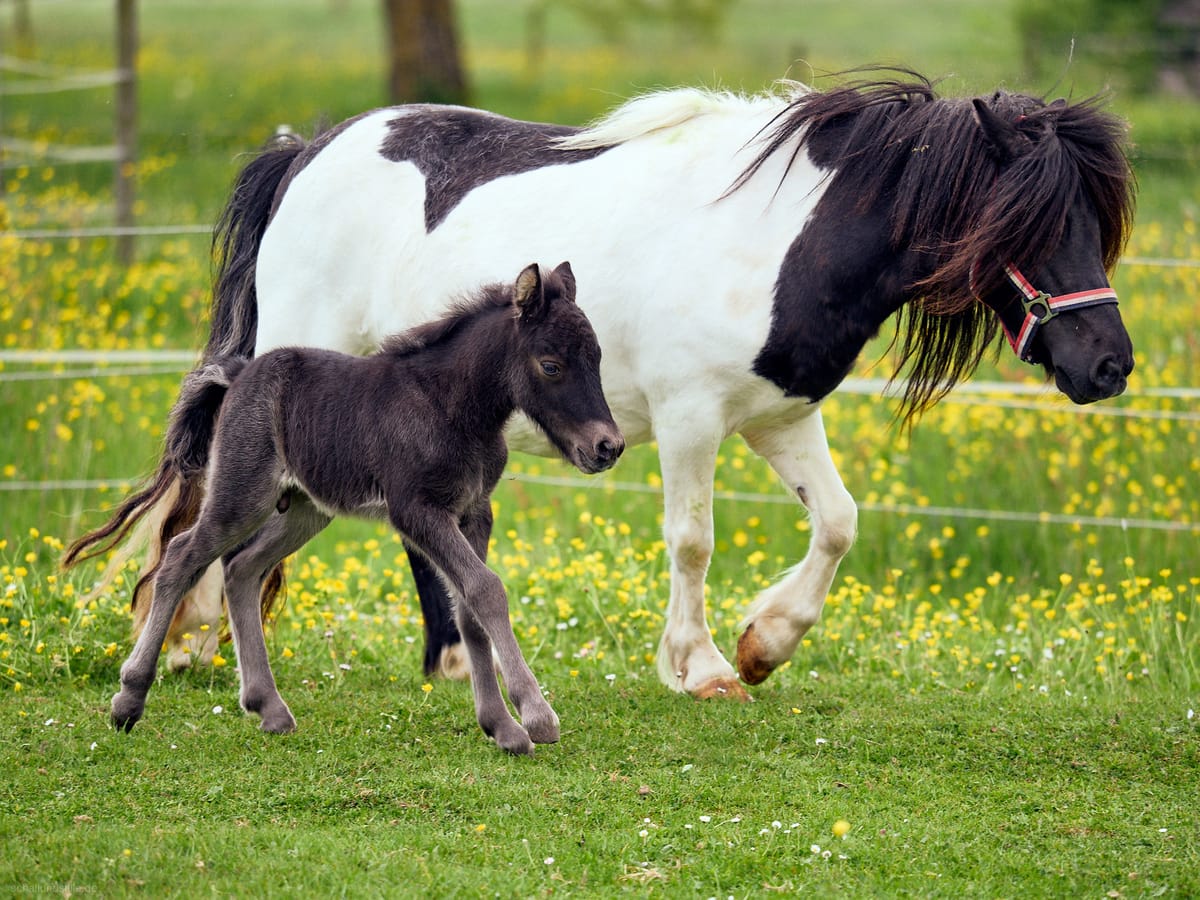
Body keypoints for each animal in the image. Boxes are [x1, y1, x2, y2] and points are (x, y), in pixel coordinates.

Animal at [67, 70, 1135, 702]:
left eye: (1095, 219)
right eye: (1033, 220)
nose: (1110, 365)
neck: (781, 237)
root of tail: (309, 151)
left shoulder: (780, 418)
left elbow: (837, 523)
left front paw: (767, 642)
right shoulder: (693, 419)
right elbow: (693, 541)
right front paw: (702, 667)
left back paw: (444, 658)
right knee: (225, 497)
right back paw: (193, 640)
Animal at [106, 262, 624, 754]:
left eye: (598, 357)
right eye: (551, 365)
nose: (608, 447)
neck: (451, 406)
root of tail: (237, 374)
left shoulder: (475, 510)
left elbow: (469, 609)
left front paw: (501, 727)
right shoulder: (417, 510)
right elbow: (486, 589)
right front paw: (535, 715)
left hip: (305, 509)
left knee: (241, 569)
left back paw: (267, 707)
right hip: (243, 492)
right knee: (183, 556)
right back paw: (129, 699)